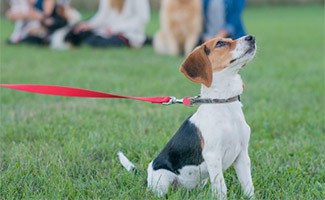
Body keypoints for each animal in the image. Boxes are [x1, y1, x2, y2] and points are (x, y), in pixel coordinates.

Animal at [118, 34, 256, 198]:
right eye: (220, 43)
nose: (251, 37)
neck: (223, 102)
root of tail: (146, 178)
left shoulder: (242, 155)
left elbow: (248, 185)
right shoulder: (213, 156)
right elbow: (221, 188)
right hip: (163, 178)